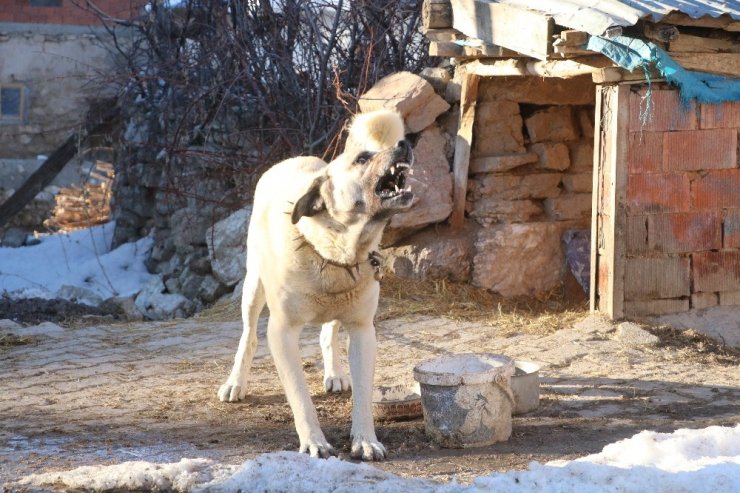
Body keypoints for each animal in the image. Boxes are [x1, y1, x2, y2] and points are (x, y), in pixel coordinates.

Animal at [220, 109, 414, 460]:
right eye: (362, 158)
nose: (405, 145)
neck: (331, 250)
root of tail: (292, 159)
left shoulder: (363, 331)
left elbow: (363, 393)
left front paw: (365, 440)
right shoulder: (281, 333)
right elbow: (300, 396)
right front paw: (314, 442)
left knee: (328, 332)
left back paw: (334, 373)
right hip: (253, 288)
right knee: (248, 336)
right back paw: (235, 383)